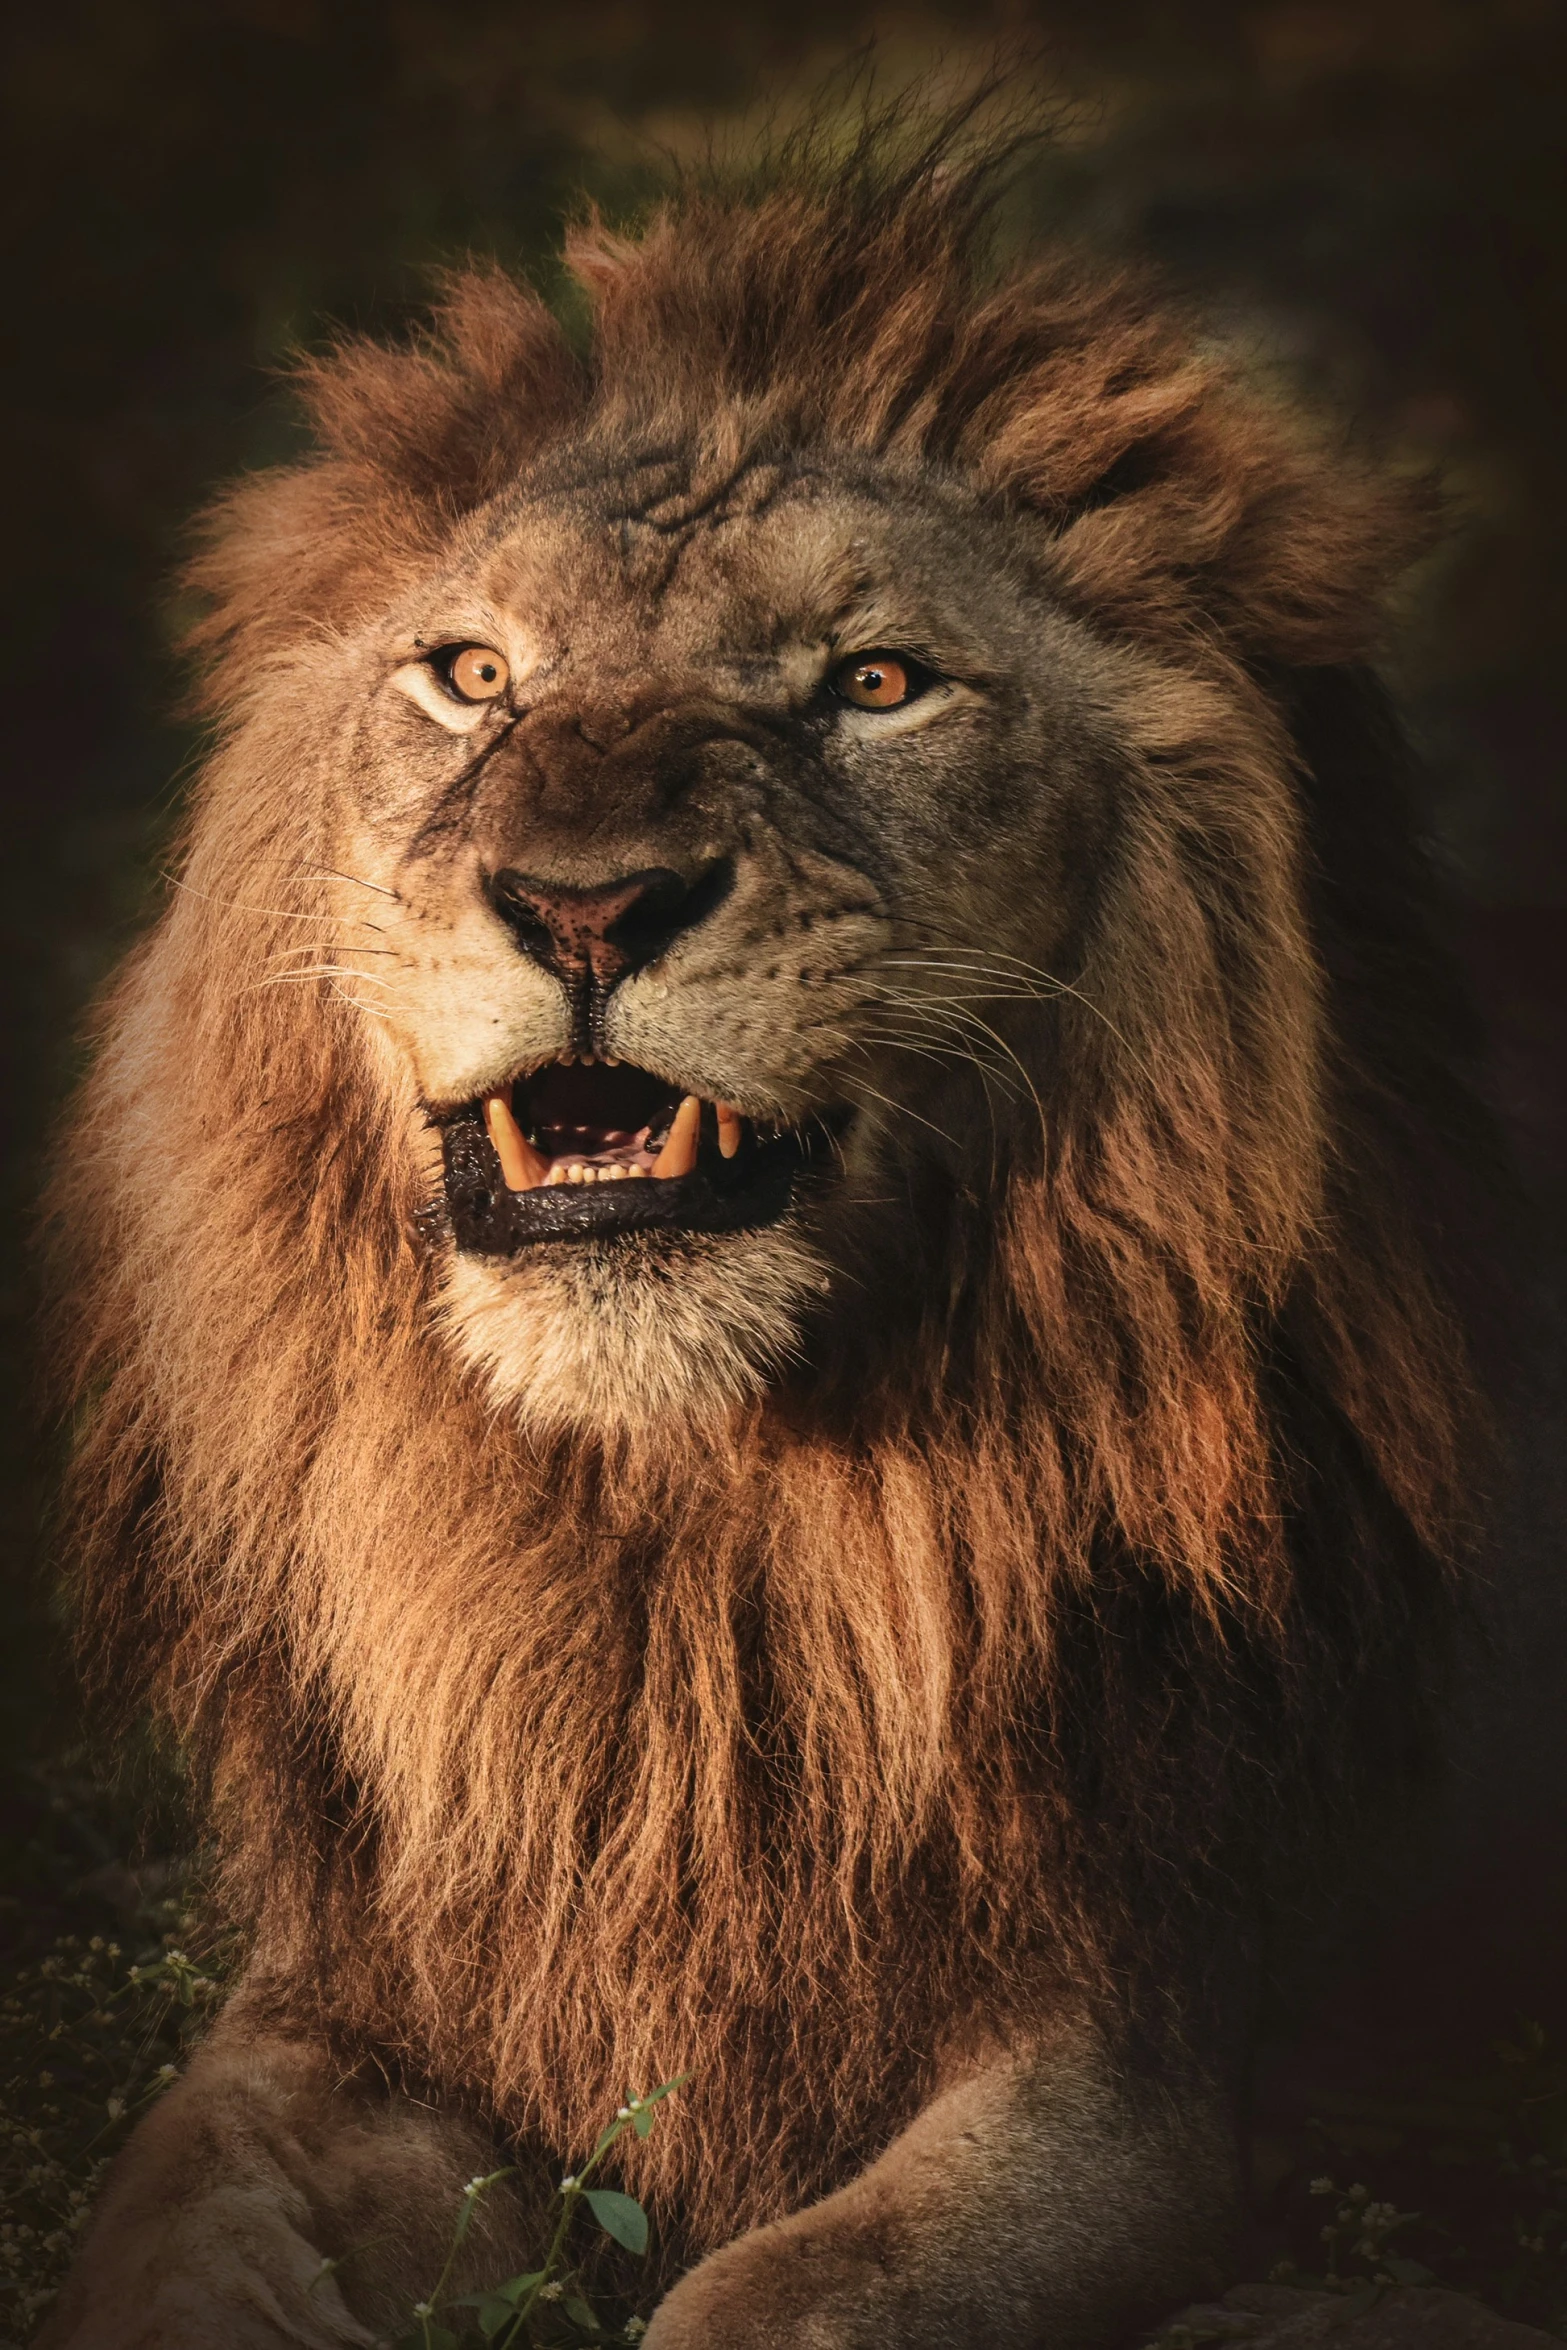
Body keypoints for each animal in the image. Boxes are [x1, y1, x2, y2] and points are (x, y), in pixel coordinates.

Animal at [36, 128, 1494, 2350]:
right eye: (474, 675)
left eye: (873, 686)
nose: (581, 903)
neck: (675, 1536)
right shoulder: (358, 1996)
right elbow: (167, 2224)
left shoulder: (1136, 2040)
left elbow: (790, 2293)